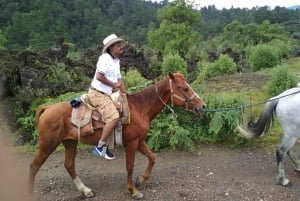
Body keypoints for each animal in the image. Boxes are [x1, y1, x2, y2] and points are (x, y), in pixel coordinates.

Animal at [28, 72, 206, 198]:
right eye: (184, 88)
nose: (203, 106)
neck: (139, 109)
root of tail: (46, 108)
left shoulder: (140, 141)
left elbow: (152, 158)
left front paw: (141, 180)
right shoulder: (132, 143)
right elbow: (130, 166)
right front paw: (133, 191)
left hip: (70, 142)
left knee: (69, 165)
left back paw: (85, 190)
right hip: (48, 145)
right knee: (34, 166)